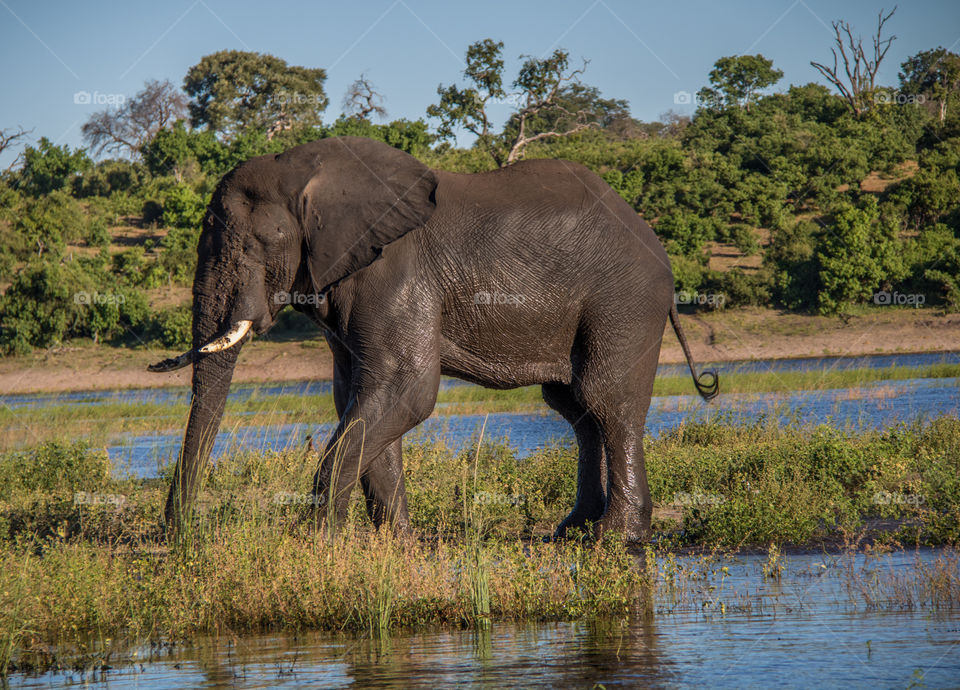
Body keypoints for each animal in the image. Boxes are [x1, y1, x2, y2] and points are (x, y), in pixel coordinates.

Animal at [150, 136, 716, 544]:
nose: (181, 538)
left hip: (624, 300)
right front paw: (396, 546)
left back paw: (616, 538)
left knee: (605, 400)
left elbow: (405, 392)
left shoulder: (393, 275)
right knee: (575, 409)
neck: (307, 166)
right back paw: (571, 532)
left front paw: (313, 544)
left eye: (250, 245)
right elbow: (359, 399)